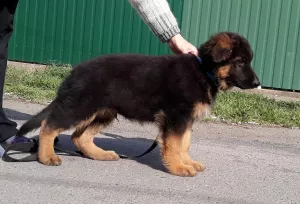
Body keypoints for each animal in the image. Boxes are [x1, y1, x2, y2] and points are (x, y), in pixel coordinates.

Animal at [17, 31, 260, 177]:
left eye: (247, 61)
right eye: (240, 62)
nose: (258, 83)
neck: (204, 71)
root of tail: (74, 72)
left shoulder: (185, 120)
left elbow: (185, 143)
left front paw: (188, 162)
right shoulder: (176, 117)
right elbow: (175, 144)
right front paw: (178, 167)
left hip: (104, 111)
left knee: (80, 136)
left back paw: (100, 154)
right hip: (80, 106)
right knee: (49, 125)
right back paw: (47, 156)